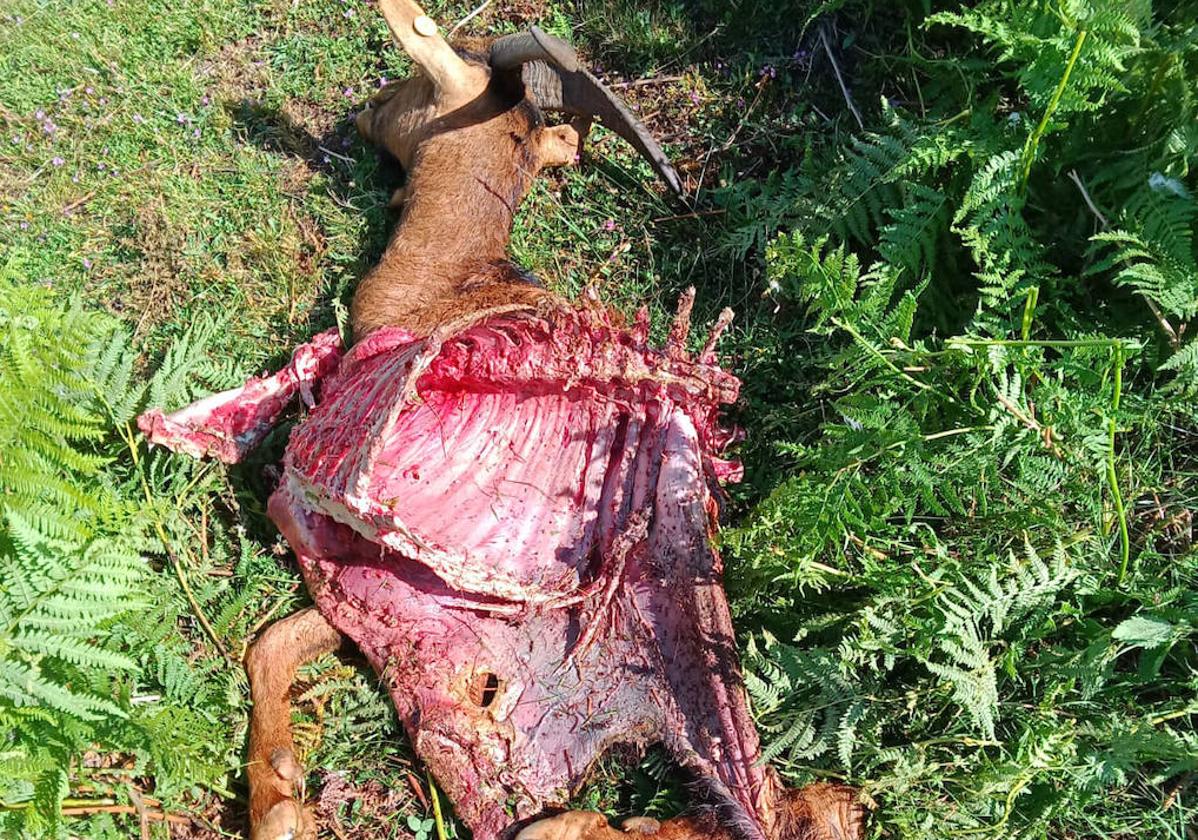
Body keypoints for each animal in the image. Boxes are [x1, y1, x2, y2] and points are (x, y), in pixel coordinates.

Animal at [137, 3, 862, 834]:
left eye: (413, 78)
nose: (361, 108)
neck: (442, 283)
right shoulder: (380, 591)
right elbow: (271, 643)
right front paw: (278, 792)